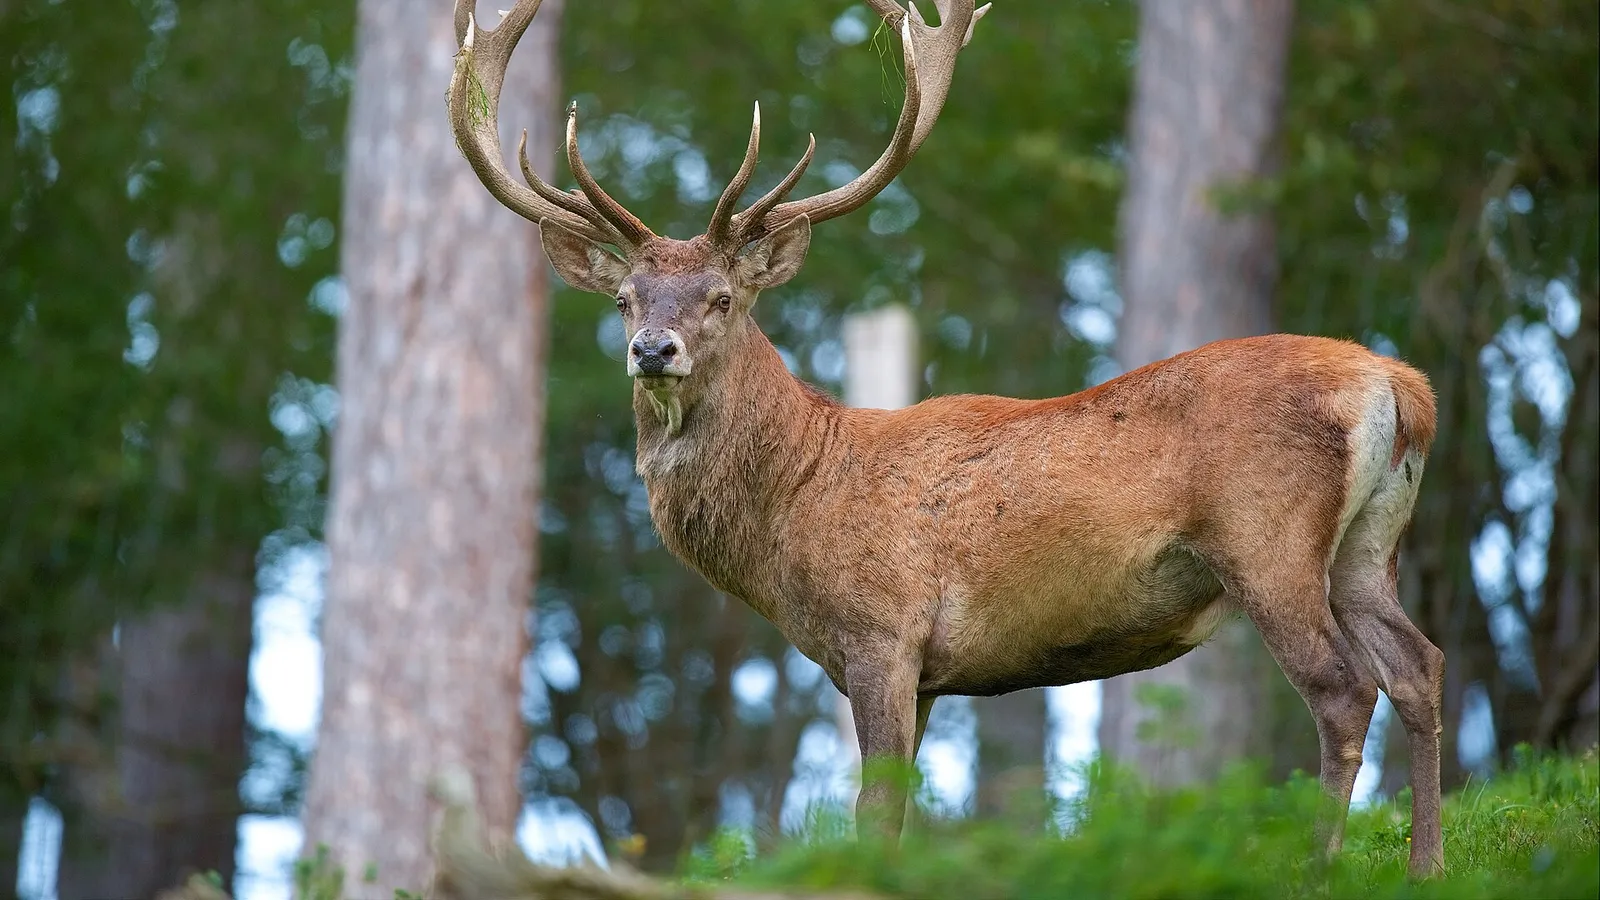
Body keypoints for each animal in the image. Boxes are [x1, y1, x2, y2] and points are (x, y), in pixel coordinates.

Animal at [448, 0, 1446, 878]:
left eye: (722, 298)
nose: (653, 349)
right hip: (1366, 547)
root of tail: (1401, 388)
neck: (793, 508)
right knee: (1419, 666)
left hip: (1266, 537)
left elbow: (874, 810)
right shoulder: (925, 673)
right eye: (625, 300)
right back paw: (1426, 865)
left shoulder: (882, 633)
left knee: (1343, 689)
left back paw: (1321, 866)